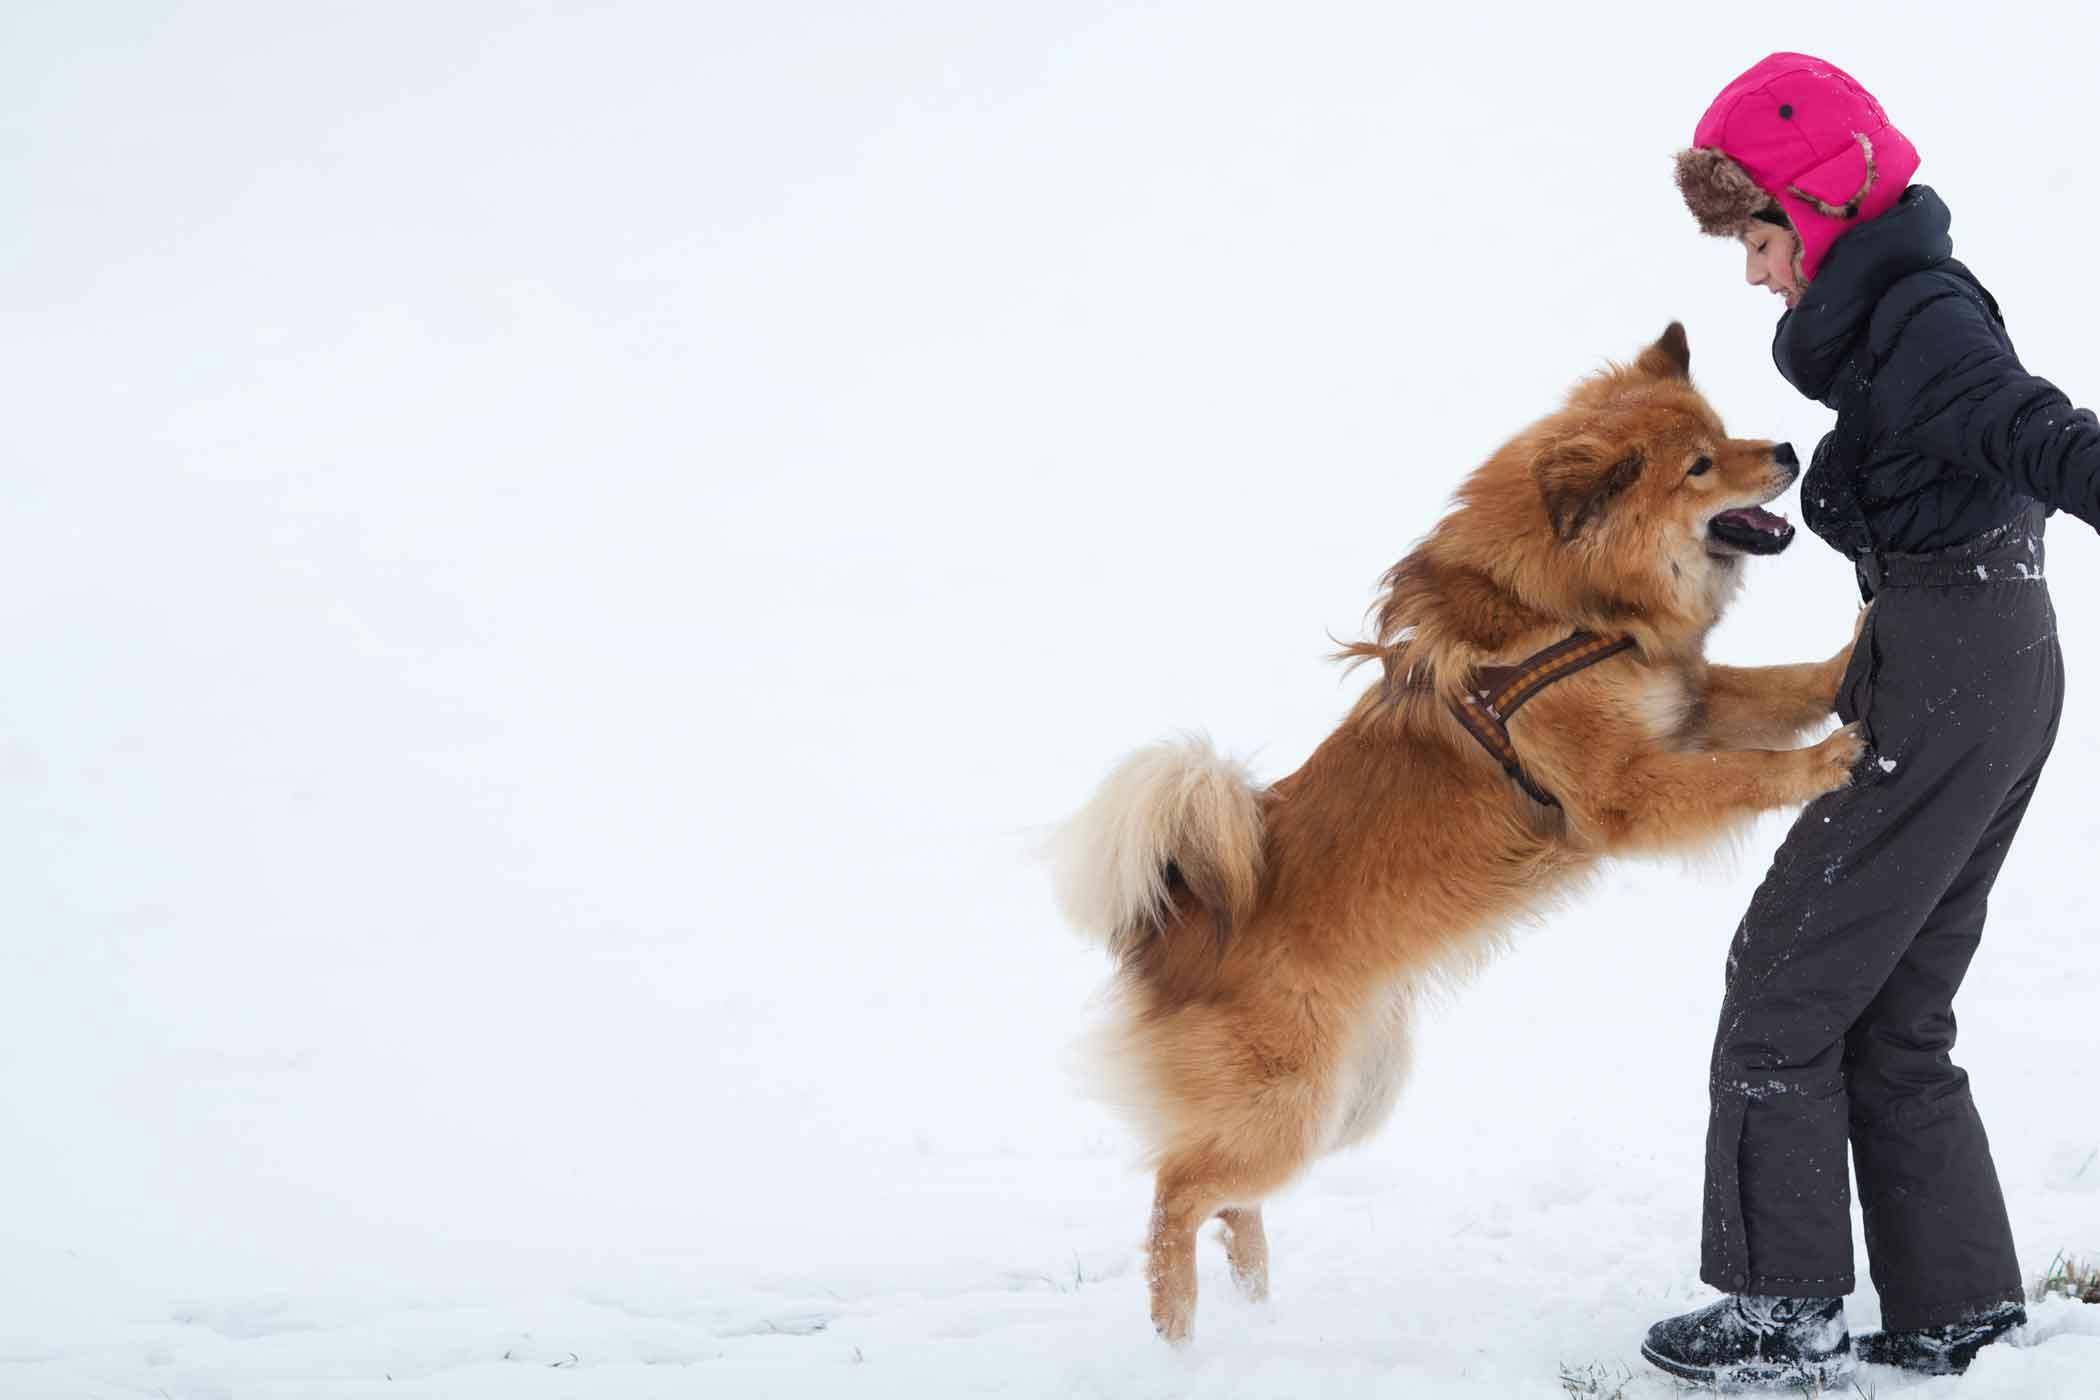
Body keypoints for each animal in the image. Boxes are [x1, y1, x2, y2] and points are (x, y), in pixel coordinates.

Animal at [1050, 323, 1873, 1343]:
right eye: (1701, 466)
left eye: (1722, 434)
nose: (1792, 450)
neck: (1569, 610)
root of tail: (1169, 926)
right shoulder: (1630, 791)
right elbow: (1745, 771)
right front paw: (1825, 760)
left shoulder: (1687, 708)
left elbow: (1782, 685)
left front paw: (1849, 655)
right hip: (1289, 1106)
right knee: (1176, 1193)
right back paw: (1180, 1340)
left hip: (1349, 1094)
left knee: (1227, 1199)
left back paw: (1254, 1299)